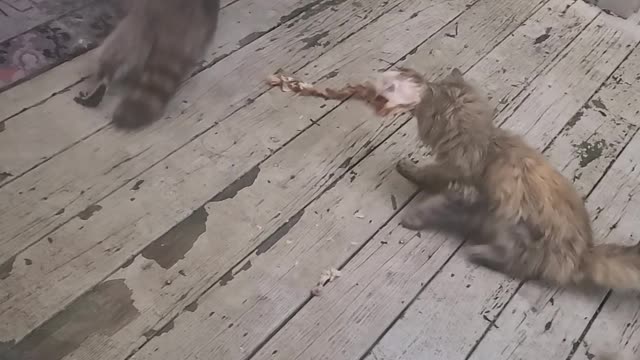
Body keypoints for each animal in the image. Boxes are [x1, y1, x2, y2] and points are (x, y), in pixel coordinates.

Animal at [388, 67, 640, 292]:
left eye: (422, 108)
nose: (412, 107)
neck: (483, 144)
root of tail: (585, 253)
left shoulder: (465, 193)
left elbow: (431, 194)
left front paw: (411, 212)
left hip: (515, 226)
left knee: (521, 266)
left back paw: (478, 253)